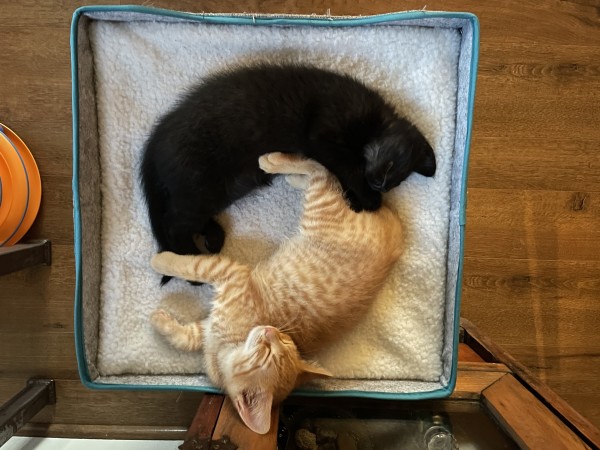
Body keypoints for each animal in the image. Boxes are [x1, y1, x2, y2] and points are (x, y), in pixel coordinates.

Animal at [138, 64, 434, 282]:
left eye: (395, 182)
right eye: (390, 166)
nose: (379, 185)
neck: (374, 121)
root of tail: (156, 139)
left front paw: (355, 198)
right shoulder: (323, 136)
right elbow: (347, 165)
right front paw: (367, 198)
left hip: (223, 188)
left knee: (188, 218)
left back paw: (212, 236)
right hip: (201, 183)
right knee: (175, 222)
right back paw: (191, 262)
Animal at [150, 153, 404, 434]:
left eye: (270, 352)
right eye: (282, 341)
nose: (269, 331)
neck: (225, 347)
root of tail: (396, 242)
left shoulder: (231, 275)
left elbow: (194, 267)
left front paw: (160, 260)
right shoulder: (210, 322)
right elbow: (185, 336)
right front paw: (160, 321)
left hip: (320, 208)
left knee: (321, 173)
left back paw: (272, 162)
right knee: (325, 175)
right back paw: (290, 176)